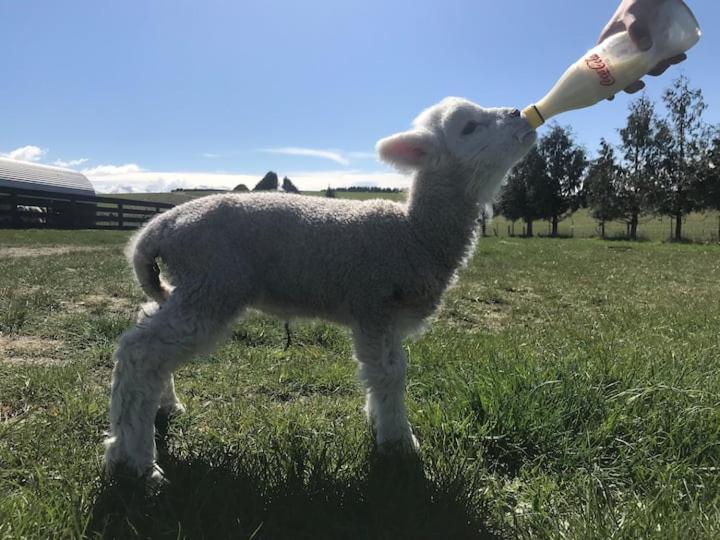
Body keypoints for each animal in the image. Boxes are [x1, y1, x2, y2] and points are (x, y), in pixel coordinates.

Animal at [105, 97, 536, 480]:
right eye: (468, 127)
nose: (520, 113)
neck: (414, 233)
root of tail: (160, 226)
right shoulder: (373, 303)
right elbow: (389, 375)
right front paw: (399, 444)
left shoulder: (385, 316)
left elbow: (388, 371)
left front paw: (379, 422)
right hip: (213, 281)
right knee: (140, 352)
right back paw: (135, 459)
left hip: (191, 284)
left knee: (148, 333)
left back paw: (163, 408)